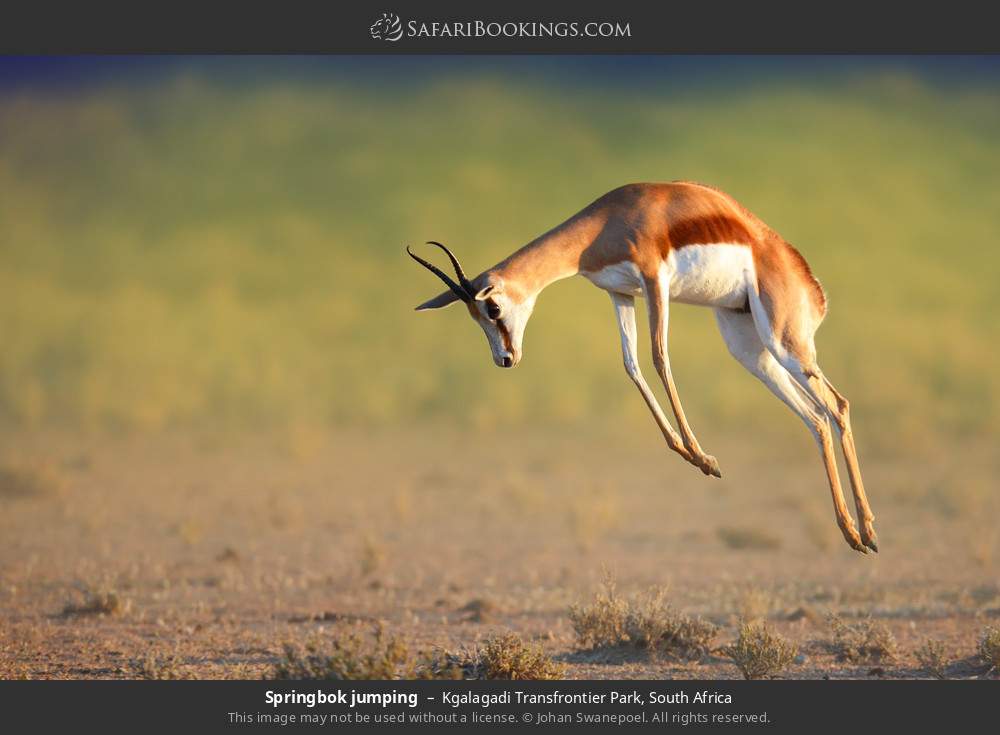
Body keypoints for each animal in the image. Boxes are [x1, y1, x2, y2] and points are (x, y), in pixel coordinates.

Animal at [406, 183, 876, 552]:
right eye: (475, 318)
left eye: (493, 308)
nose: (505, 359)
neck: (605, 224)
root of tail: (807, 281)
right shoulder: (621, 294)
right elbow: (631, 365)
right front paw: (692, 456)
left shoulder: (654, 280)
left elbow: (658, 357)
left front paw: (705, 459)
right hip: (749, 348)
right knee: (816, 418)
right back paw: (852, 532)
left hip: (784, 342)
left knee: (837, 405)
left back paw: (868, 532)